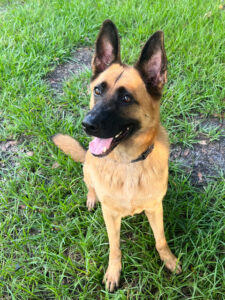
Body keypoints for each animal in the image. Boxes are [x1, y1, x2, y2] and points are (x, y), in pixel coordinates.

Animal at [52, 18, 181, 290]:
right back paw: (92, 198)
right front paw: (114, 272)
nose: (87, 125)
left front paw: (169, 260)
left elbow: (160, 239)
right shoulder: (110, 216)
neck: (128, 163)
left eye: (126, 98)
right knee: (90, 185)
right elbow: (115, 247)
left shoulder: (156, 208)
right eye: (98, 91)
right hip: (88, 170)